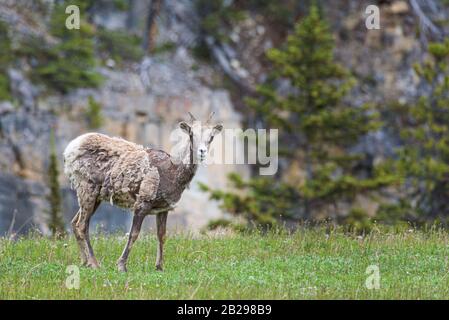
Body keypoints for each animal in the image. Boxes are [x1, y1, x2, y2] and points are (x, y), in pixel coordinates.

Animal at [63, 111, 222, 272]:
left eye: (211, 137)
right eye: (191, 134)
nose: (202, 152)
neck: (173, 174)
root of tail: (70, 149)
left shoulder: (163, 208)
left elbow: (161, 235)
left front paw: (159, 266)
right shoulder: (142, 203)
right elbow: (134, 234)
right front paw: (121, 265)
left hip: (96, 197)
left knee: (75, 222)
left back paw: (85, 262)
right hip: (87, 189)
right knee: (81, 225)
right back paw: (94, 263)